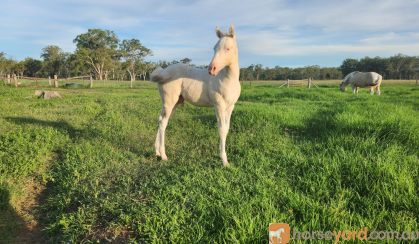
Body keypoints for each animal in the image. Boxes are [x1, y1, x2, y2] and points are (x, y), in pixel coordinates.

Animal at [150, 24, 241, 166]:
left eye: (228, 48)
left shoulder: (230, 106)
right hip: (169, 101)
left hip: (176, 102)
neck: (227, 80)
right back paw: (164, 155)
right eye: (214, 48)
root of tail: (164, 72)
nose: (212, 69)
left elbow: (226, 129)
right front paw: (224, 161)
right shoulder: (219, 105)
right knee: (163, 122)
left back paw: (157, 152)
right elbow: (221, 130)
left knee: (161, 120)